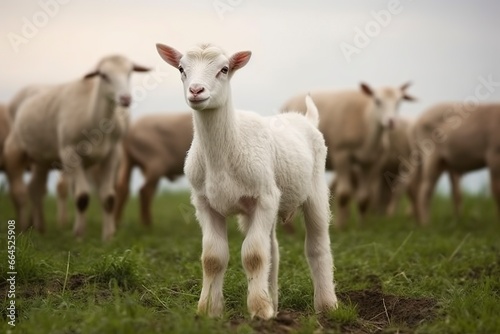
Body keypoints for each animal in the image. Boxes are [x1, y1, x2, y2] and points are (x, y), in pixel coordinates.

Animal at [3, 55, 149, 240]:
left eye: (129, 73)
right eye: (103, 75)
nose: (125, 99)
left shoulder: (112, 154)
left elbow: (108, 198)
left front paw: (108, 237)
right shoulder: (69, 153)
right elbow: (82, 197)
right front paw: (79, 235)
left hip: (41, 160)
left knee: (35, 189)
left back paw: (40, 229)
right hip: (14, 150)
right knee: (19, 192)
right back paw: (22, 229)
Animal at [155, 43, 336, 320]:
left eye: (224, 69)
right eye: (181, 69)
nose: (196, 91)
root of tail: (304, 118)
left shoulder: (264, 197)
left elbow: (254, 255)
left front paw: (259, 310)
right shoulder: (204, 203)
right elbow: (213, 257)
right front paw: (208, 310)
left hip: (314, 190)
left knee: (317, 246)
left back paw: (327, 305)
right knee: (273, 249)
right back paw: (274, 302)